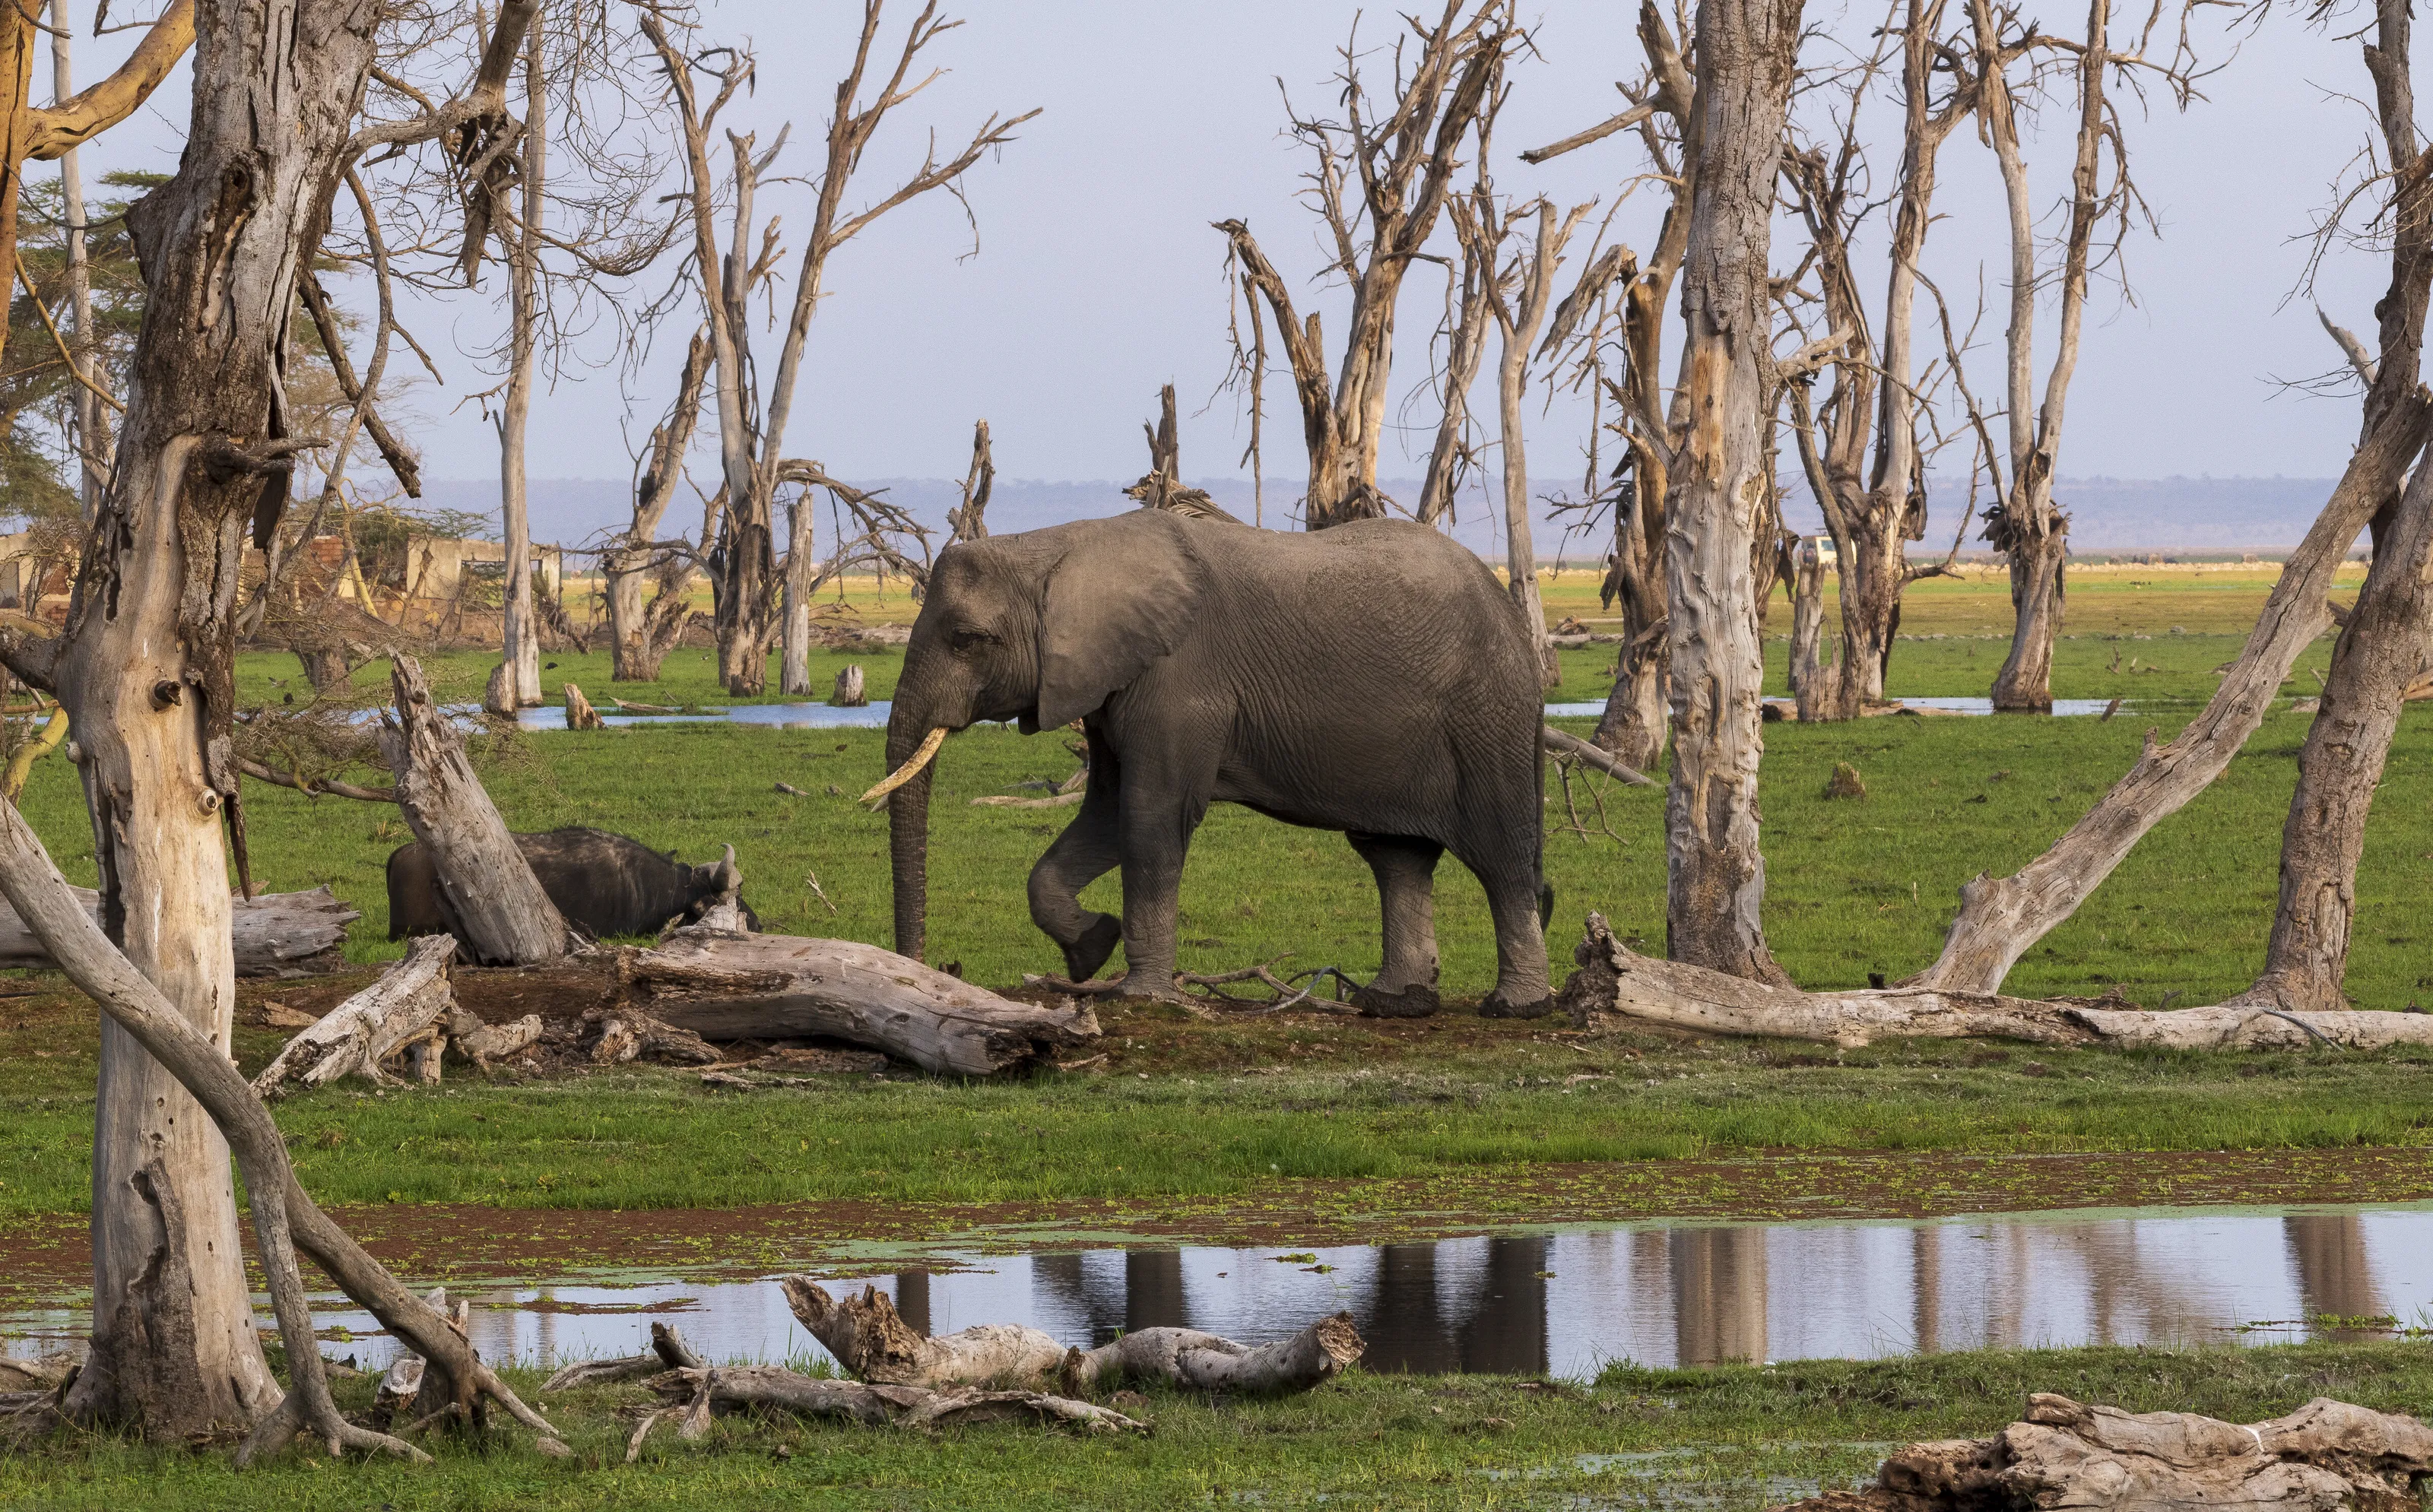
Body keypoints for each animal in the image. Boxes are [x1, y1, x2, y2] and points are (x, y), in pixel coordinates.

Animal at [872, 508, 1553, 1018]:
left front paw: (1141, 996)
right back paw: (1393, 1003)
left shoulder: (1179, 679)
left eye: (967, 639)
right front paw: (1092, 949)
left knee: (1499, 854)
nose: (924, 967)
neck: (1060, 546)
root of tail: (1514, 617)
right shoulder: (1114, 683)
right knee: (1396, 856)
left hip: (1485, 716)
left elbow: (1149, 815)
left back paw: (1516, 1007)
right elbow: (1105, 814)